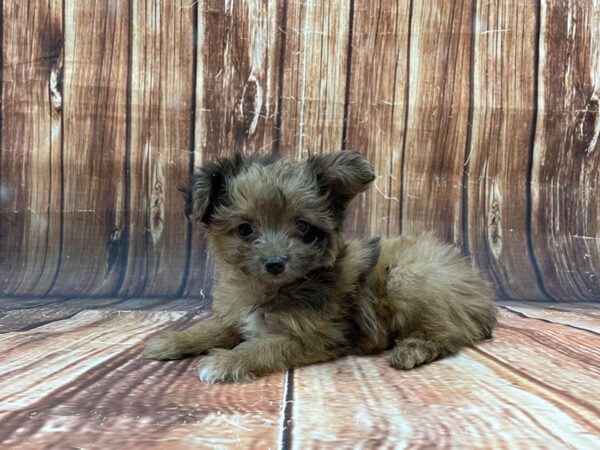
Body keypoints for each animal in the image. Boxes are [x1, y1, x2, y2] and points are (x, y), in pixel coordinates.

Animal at [143, 152, 494, 384]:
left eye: (303, 227)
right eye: (245, 229)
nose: (275, 263)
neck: (274, 289)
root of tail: (478, 290)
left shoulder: (312, 336)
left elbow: (264, 347)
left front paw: (228, 360)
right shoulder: (237, 317)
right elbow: (211, 328)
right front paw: (173, 340)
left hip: (407, 278)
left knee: (447, 333)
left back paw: (413, 349)